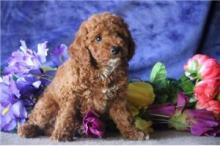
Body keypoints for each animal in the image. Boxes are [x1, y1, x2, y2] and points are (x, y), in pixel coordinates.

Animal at [18, 12, 145, 141]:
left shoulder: (118, 98)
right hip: (47, 106)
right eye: (98, 38)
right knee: (36, 120)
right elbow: (66, 115)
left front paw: (133, 132)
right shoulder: (72, 96)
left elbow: (124, 117)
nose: (116, 48)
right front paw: (60, 134)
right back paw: (27, 129)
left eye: (119, 34)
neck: (102, 70)